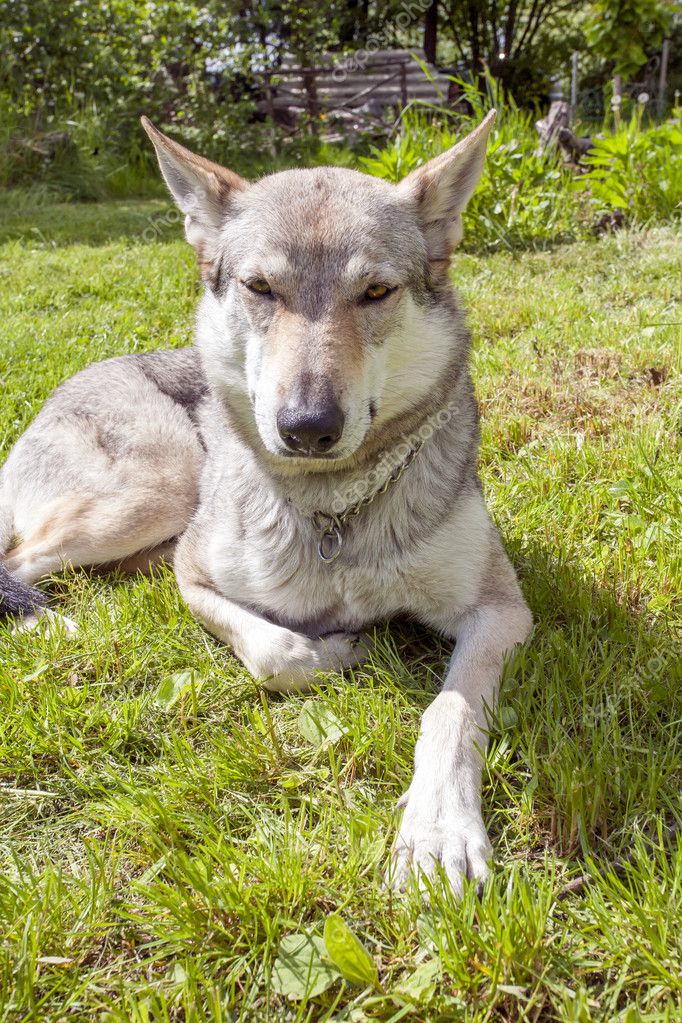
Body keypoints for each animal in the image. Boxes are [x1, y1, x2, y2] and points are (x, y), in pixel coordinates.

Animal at [0, 109, 531, 896]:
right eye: (261, 288)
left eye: (375, 292)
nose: (307, 426)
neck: (333, 512)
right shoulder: (194, 576)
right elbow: (279, 653)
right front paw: (341, 648)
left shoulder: (500, 610)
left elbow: (449, 711)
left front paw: (439, 830)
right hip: (156, 492)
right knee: (17, 563)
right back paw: (50, 622)